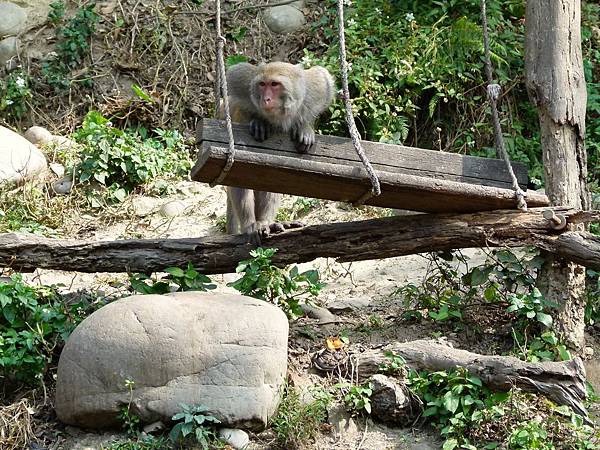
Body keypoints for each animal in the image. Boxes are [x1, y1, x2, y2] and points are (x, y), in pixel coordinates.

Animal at [223, 62, 336, 243]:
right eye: (262, 85)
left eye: (274, 84)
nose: (266, 99)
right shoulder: (242, 85)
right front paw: (258, 121)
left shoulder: (314, 90)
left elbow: (322, 77)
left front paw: (304, 127)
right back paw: (252, 225)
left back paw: (266, 222)